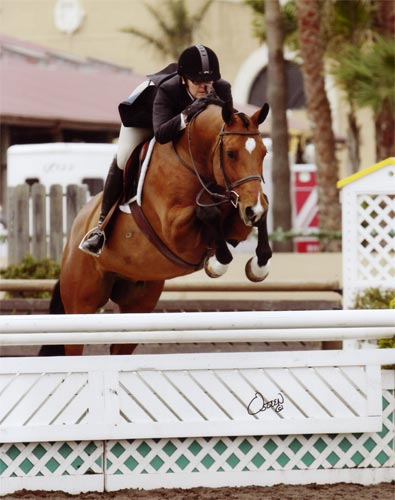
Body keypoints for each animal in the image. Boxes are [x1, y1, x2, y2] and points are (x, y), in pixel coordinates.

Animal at [41, 100, 274, 356]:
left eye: (264, 153)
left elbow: (259, 210)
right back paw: (94, 240)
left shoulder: (237, 213)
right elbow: (207, 213)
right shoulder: (175, 231)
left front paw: (259, 265)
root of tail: (74, 235)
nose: (252, 209)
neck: (194, 160)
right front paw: (217, 263)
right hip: (81, 303)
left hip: (138, 302)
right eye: (231, 153)